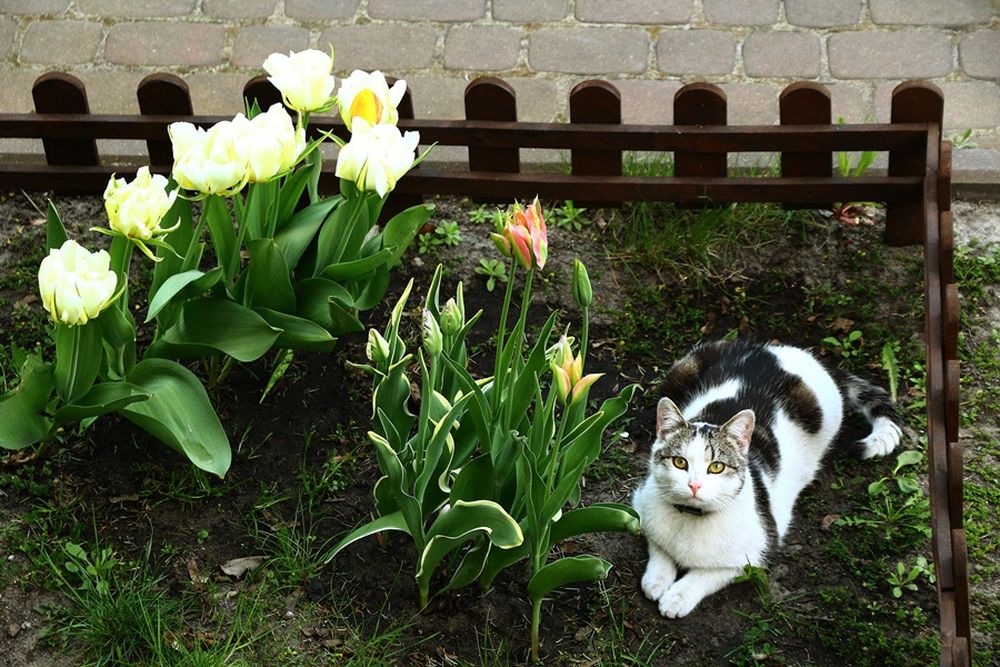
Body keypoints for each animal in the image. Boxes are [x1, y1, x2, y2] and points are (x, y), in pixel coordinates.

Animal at [631, 339, 902, 618]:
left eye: (716, 467)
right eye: (680, 462)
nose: (694, 485)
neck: (689, 519)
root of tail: (773, 347)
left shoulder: (756, 552)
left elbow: (706, 574)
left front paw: (677, 597)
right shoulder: (641, 505)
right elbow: (658, 546)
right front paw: (656, 580)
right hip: (683, 367)